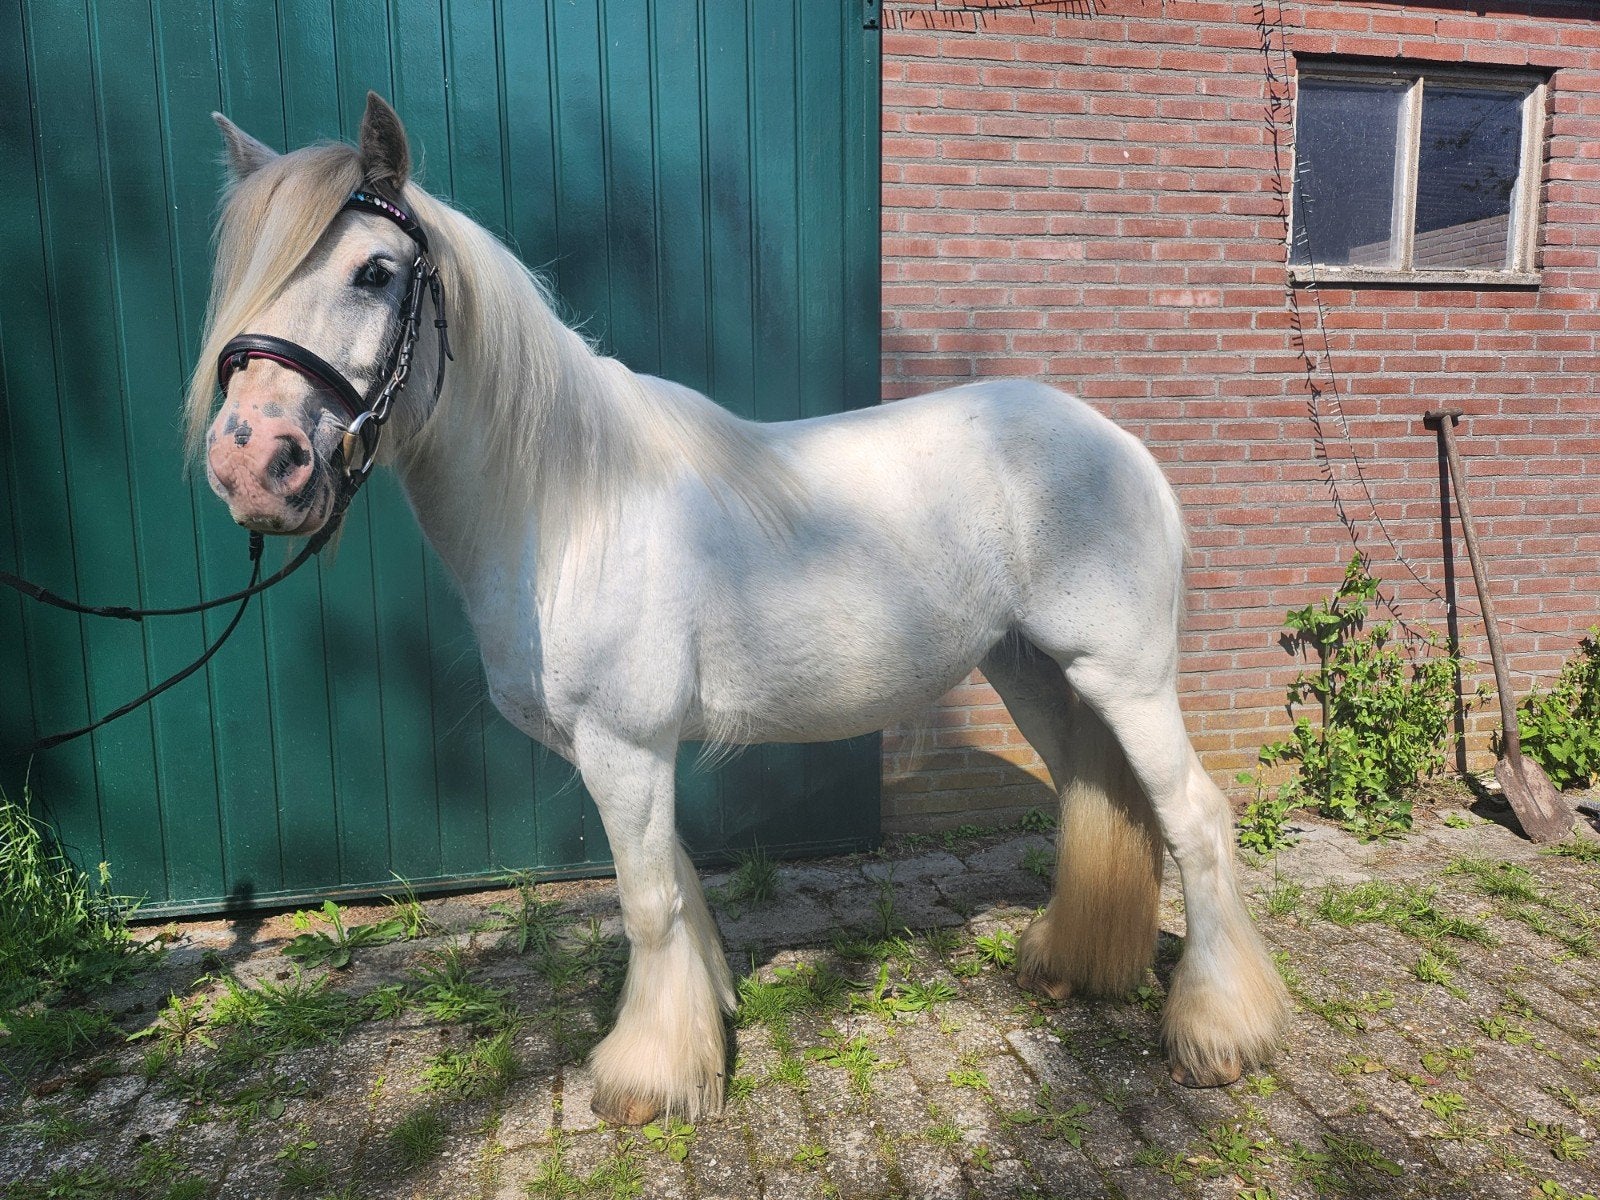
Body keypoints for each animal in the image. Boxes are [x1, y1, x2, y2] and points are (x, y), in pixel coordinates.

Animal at [192, 92, 1289, 1126]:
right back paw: (1069, 968)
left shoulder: (625, 745)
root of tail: (1116, 441)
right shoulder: (626, 754)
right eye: (238, 278)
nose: (253, 464)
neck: (569, 505)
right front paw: (701, 1028)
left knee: (1195, 819)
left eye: (375, 272)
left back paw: (1220, 1032)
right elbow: (676, 890)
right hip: (1030, 671)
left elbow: (644, 904)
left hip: (1123, 675)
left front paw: (646, 1079)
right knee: (1095, 798)